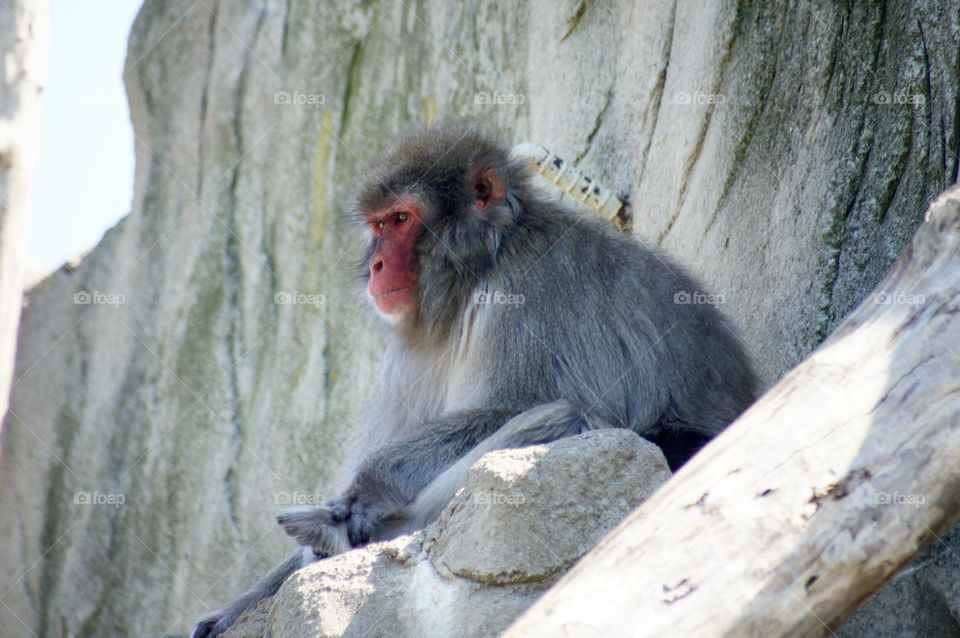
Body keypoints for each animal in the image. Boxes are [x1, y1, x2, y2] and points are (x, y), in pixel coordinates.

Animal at [191, 125, 756, 637]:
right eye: (378, 224)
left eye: (401, 219)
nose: (376, 264)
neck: (477, 269)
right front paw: (240, 604)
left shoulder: (526, 286)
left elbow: (515, 405)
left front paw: (366, 488)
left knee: (559, 417)